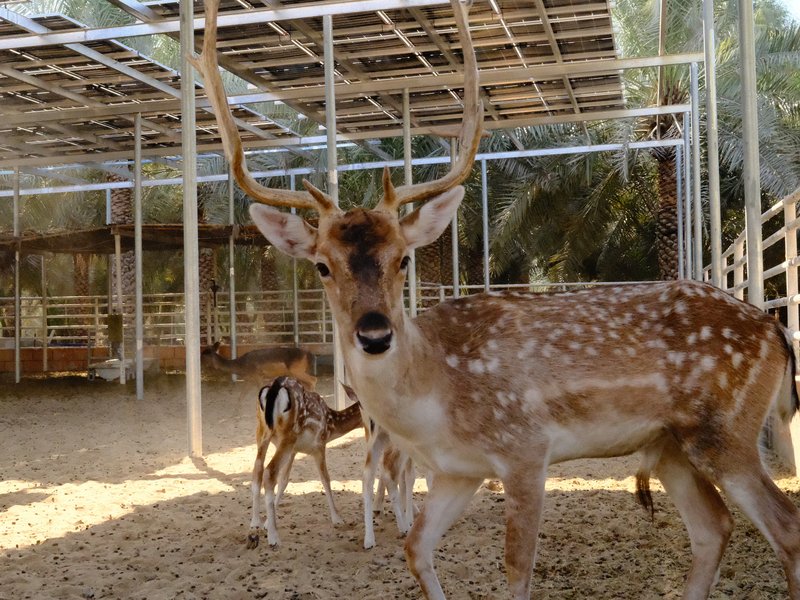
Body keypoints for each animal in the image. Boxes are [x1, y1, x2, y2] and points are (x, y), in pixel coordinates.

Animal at [247, 376, 364, 549]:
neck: (332, 427)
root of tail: (276, 386)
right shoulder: (319, 445)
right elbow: (325, 479)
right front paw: (337, 519)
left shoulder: (294, 451)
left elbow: (284, 481)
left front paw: (267, 523)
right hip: (288, 434)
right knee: (270, 471)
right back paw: (274, 538)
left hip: (262, 431)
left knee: (258, 469)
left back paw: (255, 523)